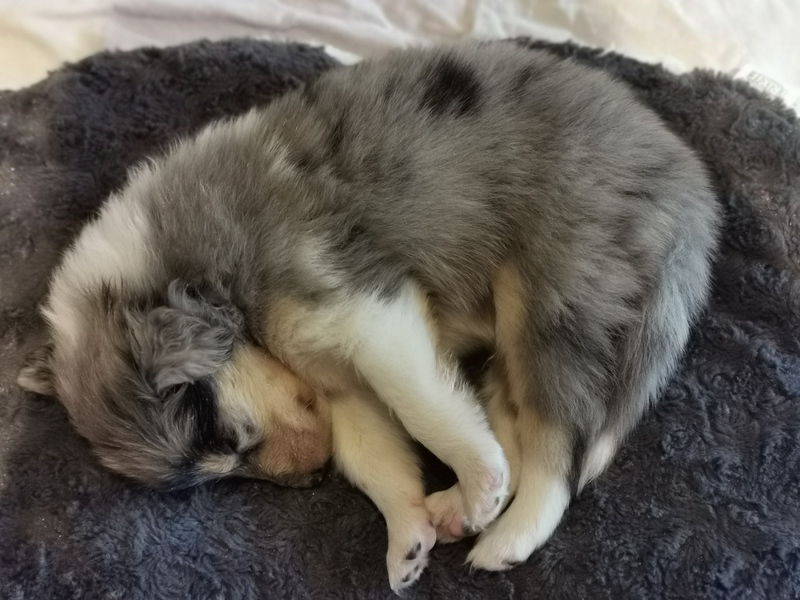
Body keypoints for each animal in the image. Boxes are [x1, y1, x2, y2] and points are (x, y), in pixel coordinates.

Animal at [17, 41, 719, 592]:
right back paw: (457, 508)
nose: (310, 480)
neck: (196, 271)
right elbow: (375, 459)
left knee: (557, 445)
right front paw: (407, 538)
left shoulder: (362, 311)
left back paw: (503, 533)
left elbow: (422, 408)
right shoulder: (339, 387)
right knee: (511, 422)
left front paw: (476, 480)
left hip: (556, 289)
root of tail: (691, 185)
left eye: (228, 440)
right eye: (223, 467)